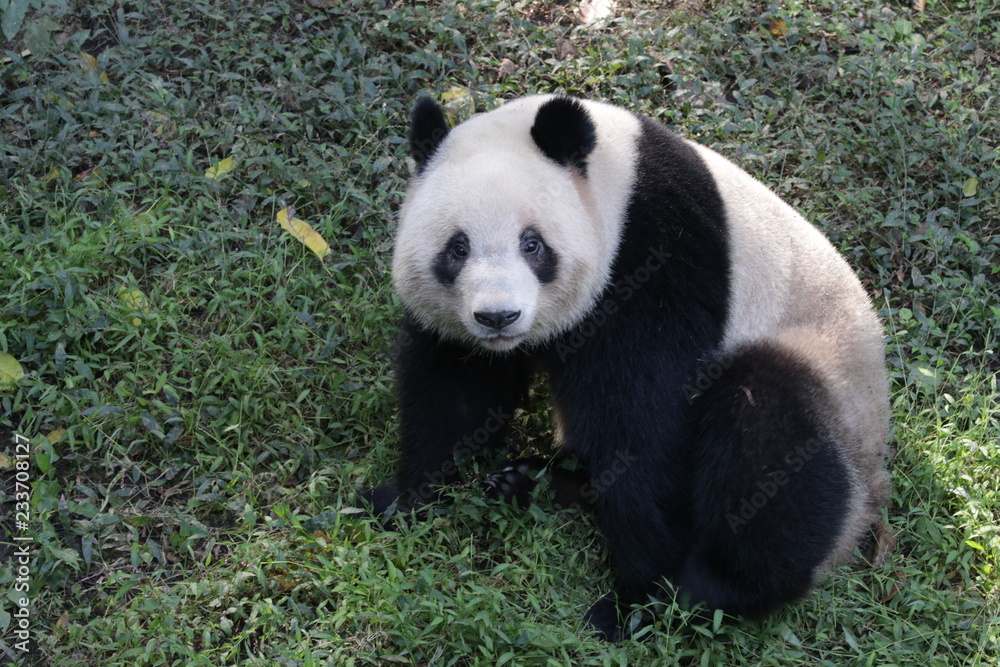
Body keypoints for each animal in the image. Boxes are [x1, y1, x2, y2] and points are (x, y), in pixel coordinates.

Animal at [363, 94, 891, 641]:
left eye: (532, 244)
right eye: (457, 247)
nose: (498, 317)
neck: (616, 186)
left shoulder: (656, 262)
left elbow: (640, 424)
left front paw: (635, 601)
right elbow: (457, 390)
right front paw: (403, 500)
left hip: (828, 375)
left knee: (770, 445)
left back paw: (713, 588)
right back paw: (532, 480)